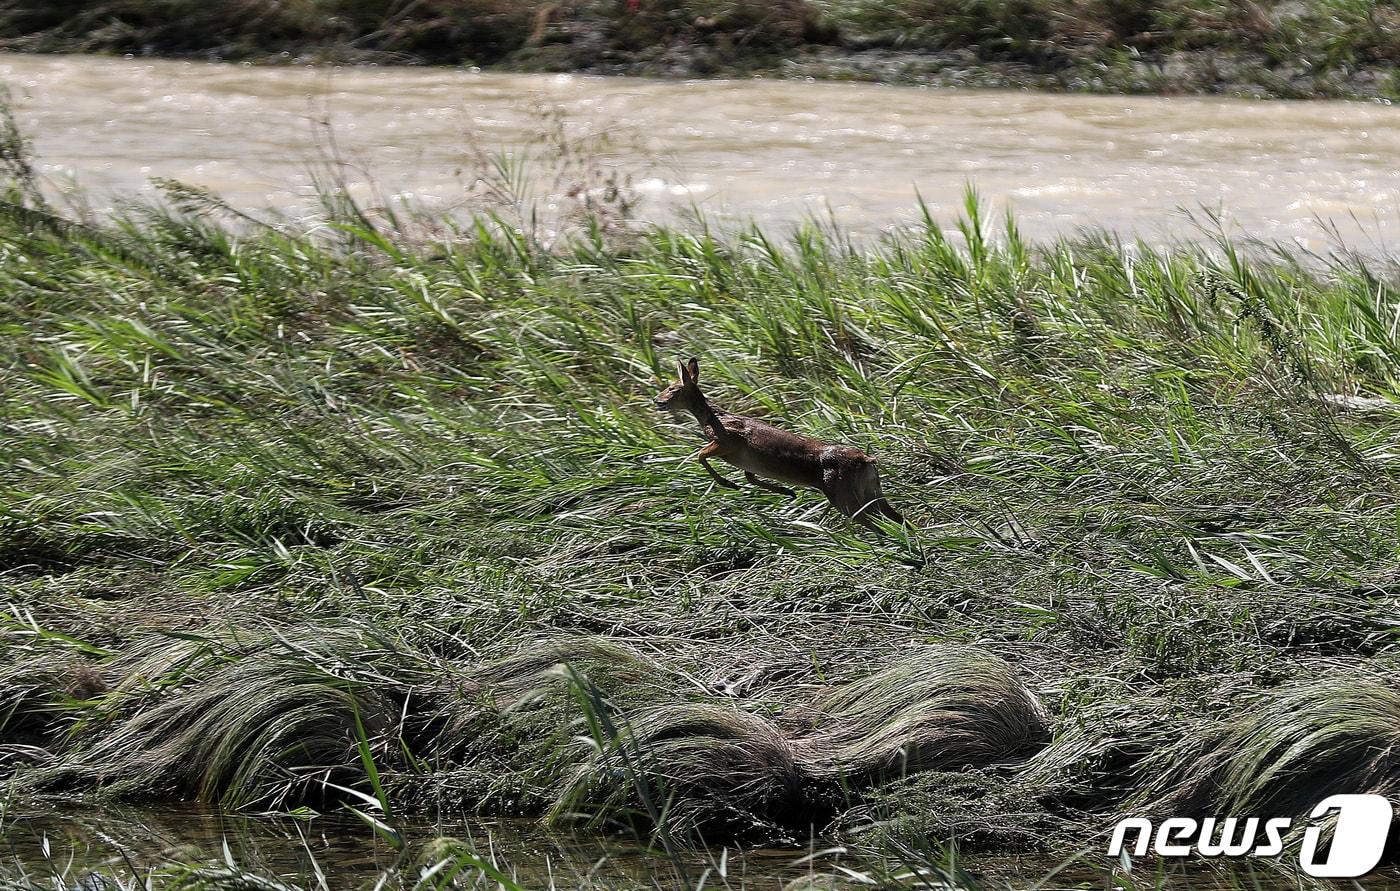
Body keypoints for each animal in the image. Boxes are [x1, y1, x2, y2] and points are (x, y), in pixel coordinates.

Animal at [655, 357, 907, 526]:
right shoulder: (746, 462)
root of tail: (866, 460)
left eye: (673, 388)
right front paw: (787, 492)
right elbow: (750, 477)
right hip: (873, 491)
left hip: (843, 494)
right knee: (897, 518)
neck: (714, 417)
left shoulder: (727, 441)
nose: (657, 400)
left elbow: (700, 455)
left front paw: (730, 484)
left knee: (873, 523)